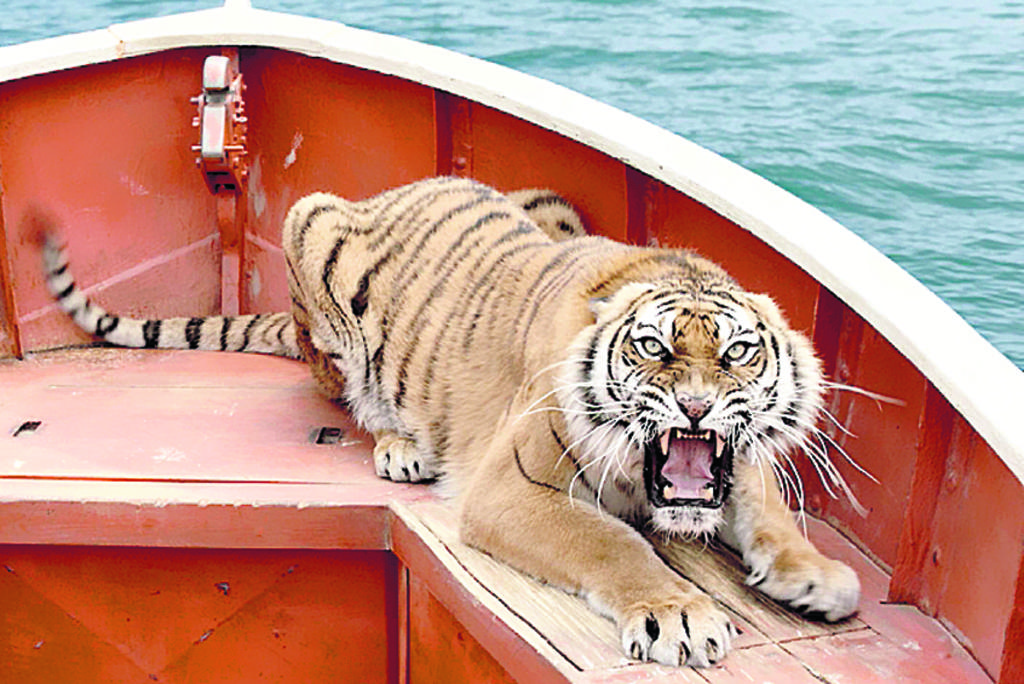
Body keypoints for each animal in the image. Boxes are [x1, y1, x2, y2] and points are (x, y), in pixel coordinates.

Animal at [41, 176, 859, 668]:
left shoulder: (734, 467)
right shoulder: (514, 487)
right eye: (652, 347)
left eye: (739, 352)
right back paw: (401, 445)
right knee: (347, 393)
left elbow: (766, 504)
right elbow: (612, 541)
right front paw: (679, 611)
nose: (695, 406)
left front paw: (818, 575)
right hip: (315, 235)